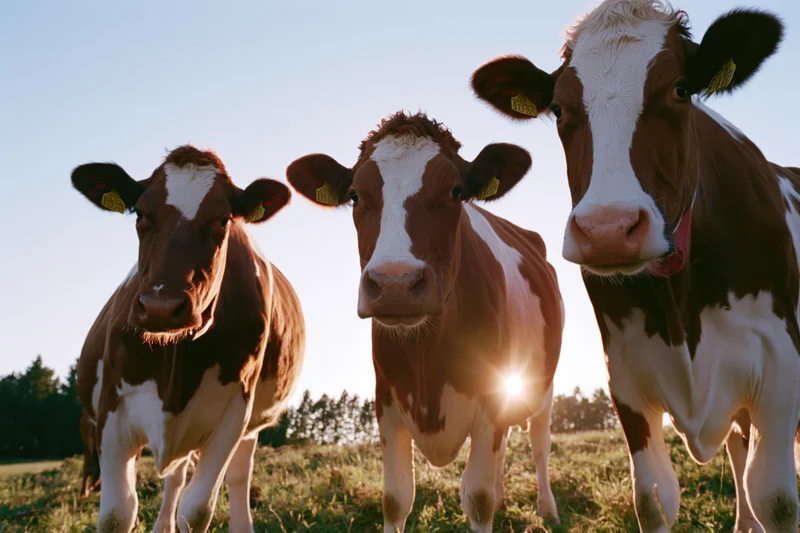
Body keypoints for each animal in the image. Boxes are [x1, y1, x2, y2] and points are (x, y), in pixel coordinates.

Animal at [72, 145, 305, 533]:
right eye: (141, 213)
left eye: (223, 220)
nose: (161, 308)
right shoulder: (110, 410)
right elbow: (118, 513)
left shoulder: (233, 416)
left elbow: (196, 510)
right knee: (175, 477)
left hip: (247, 428)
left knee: (236, 476)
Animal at [287, 111, 564, 532]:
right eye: (354, 195)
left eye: (456, 191)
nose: (395, 284)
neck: (426, 354)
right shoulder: (386, 398)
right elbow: (396, 498)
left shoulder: (492, 396)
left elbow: (477, 498)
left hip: (541, 385)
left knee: (539, 446)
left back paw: (548, 509)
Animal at [471, 1, 798, 531]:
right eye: (559, 109)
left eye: (680, 89)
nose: (607, 228)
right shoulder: (626, 378)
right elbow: (653, 499)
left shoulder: (779, 368)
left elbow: (776, 497)